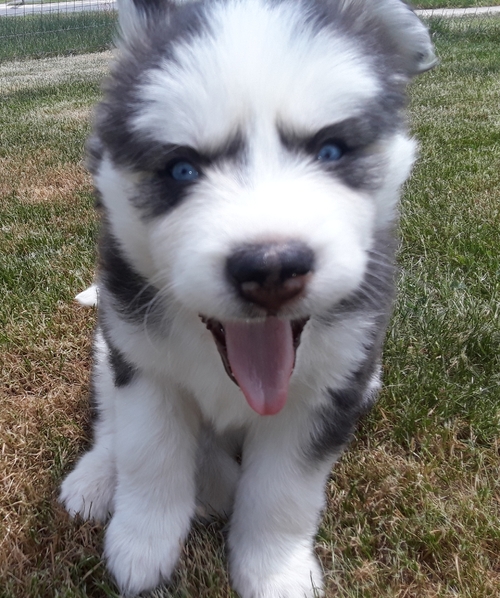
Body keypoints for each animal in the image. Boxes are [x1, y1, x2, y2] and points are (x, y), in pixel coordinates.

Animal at [57, 2, 434, 596]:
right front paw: (140, 547)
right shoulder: (144, 365)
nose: (271, 268)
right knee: (111, 424)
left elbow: (282, 492)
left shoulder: (326, 389)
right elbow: (149, 454)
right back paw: (98, 479)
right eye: (182, 168)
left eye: (330, 150)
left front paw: (274, 571)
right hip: (108, 348)